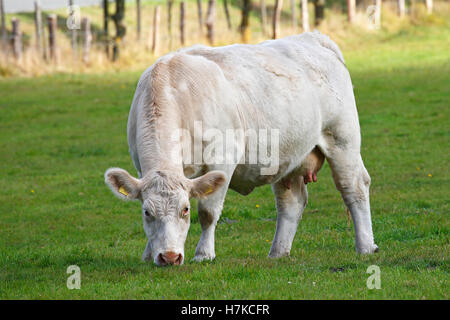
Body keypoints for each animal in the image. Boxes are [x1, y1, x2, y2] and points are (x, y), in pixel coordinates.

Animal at [103, 31, 378, 266]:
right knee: (291, 202)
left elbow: (208, 212)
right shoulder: (141, 167)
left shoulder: (222, 158)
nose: (169, 257)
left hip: (342, 139)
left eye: (185, 210)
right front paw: (149, 254)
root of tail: (314, 38)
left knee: (354, 187)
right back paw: (278, 252)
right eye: (147, 212)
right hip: (287, 154)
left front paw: (204, 254)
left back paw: (365, 246)